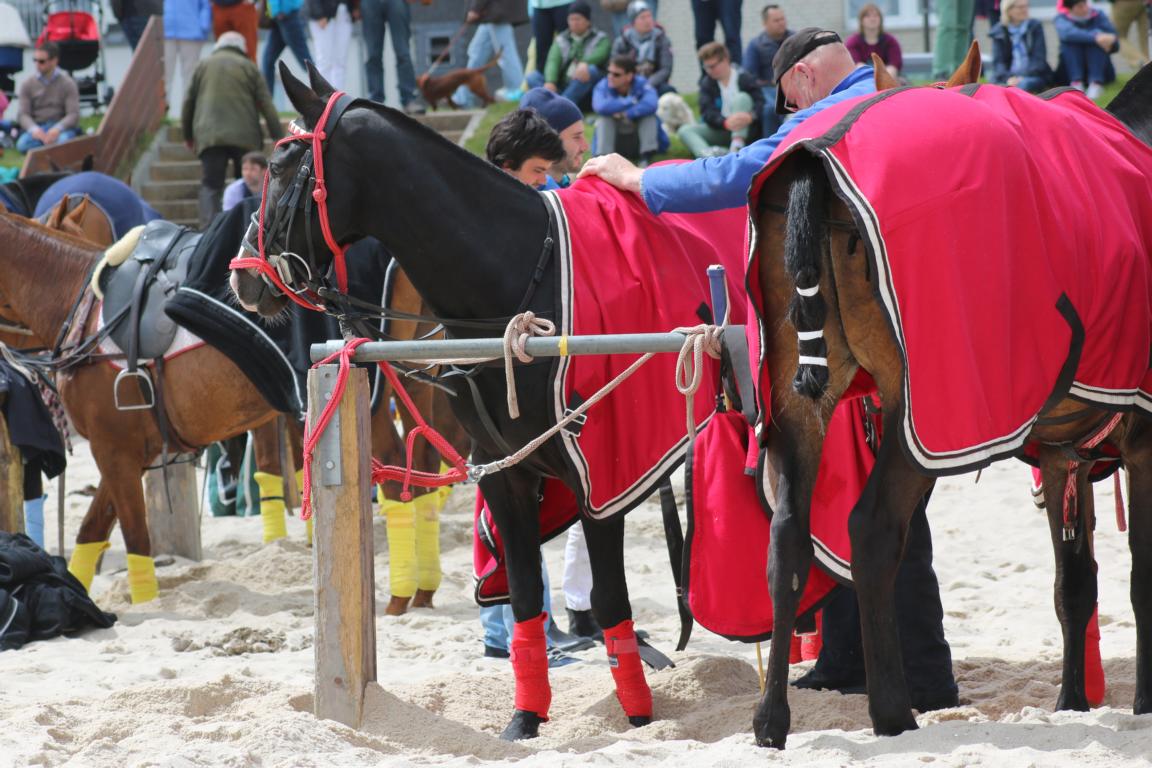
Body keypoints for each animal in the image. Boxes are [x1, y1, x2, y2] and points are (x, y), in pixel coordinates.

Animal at [230, 63, 748, 740]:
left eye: (283, 164)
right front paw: (525, 717)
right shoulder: (506, 472)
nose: (243, 276)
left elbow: (611, 596)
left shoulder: (601, 474)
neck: (518, 278)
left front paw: (637, 716)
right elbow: (525, 594)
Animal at [747, 66, 1152, 747]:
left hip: (797, 407)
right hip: (921, 422)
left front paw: (1072, 702)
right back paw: (892, 712)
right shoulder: (1145, 442)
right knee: (873, 529)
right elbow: (1139, 578)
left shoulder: (1063, 457)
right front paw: (1144, 702)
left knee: (787, 541)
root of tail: (814, 160)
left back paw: (771, 719)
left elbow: (1075, 586)